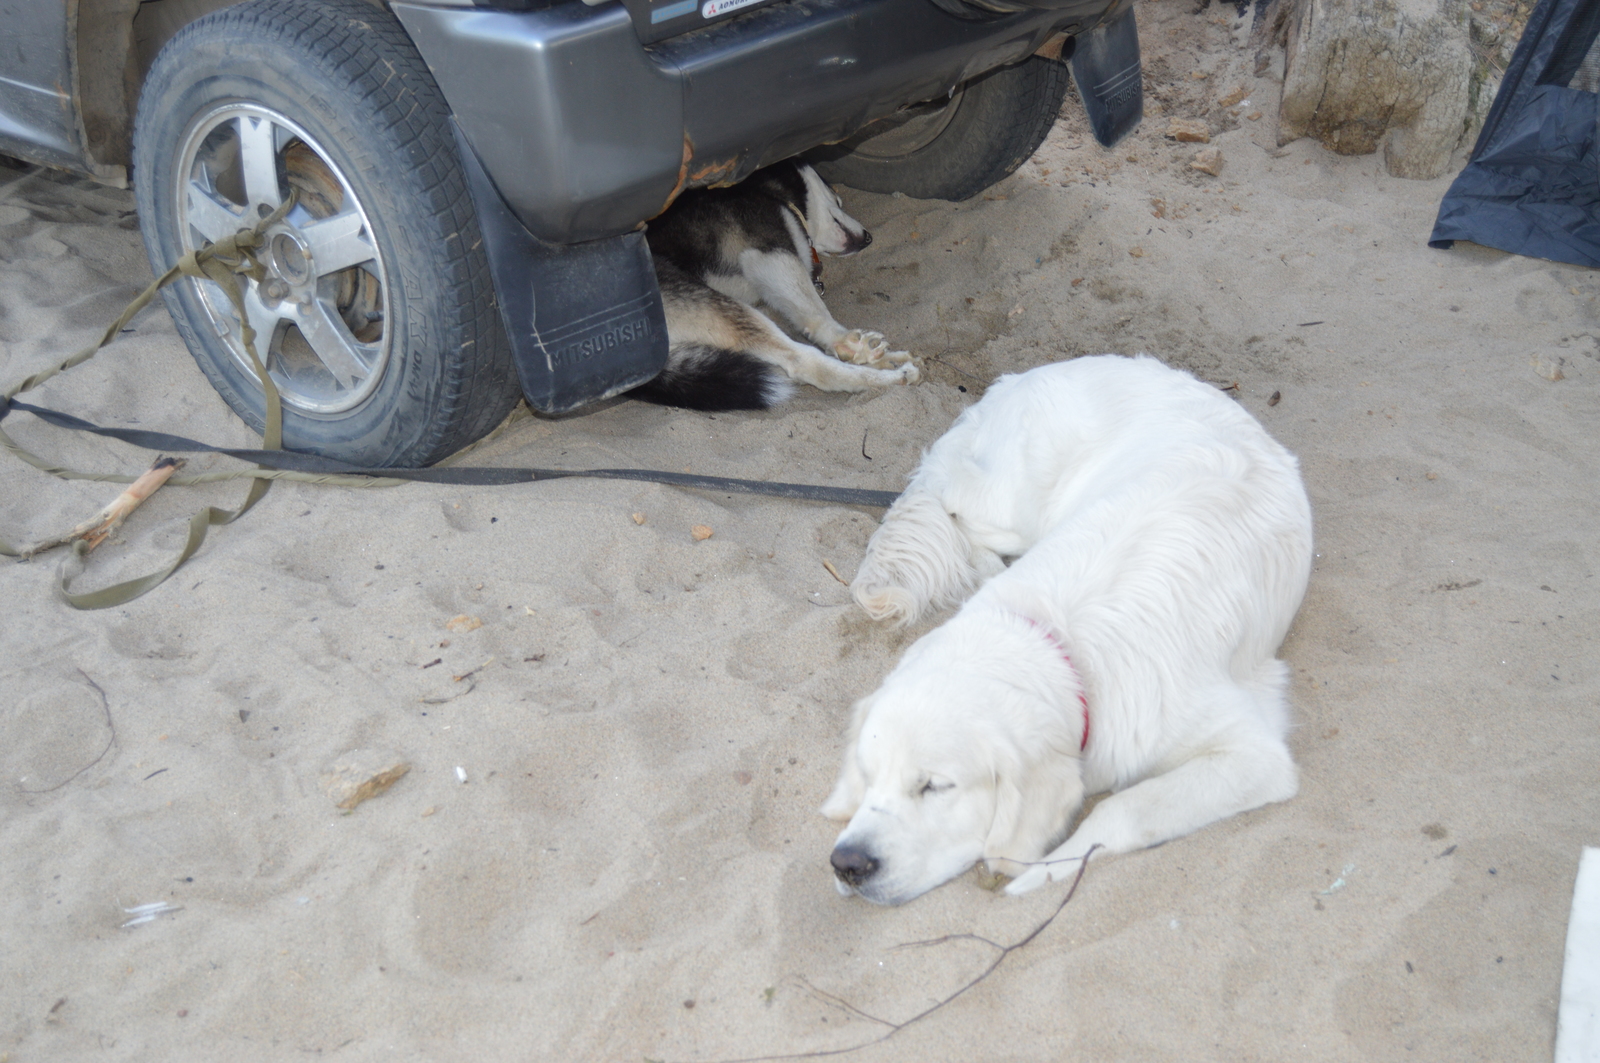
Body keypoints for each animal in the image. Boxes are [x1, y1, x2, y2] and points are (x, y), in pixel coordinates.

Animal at [633, 161, 921, 409]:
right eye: (836, 198)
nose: (869, 238)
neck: (772, 193)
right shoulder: (770, 254)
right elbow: (816, 312)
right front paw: (845, 342)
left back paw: (888, 360)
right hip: (717, 307)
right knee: (805, 361)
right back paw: (892, 377)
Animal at [825, 357, 1312, 902]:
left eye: (934, 786)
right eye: (869, 776)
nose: (846, 863)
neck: (1057, 644)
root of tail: (1022, 376)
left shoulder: (1254, 754)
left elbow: (1122, 809)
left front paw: (1040, 871)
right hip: (1010, 506)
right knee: (949, 505)